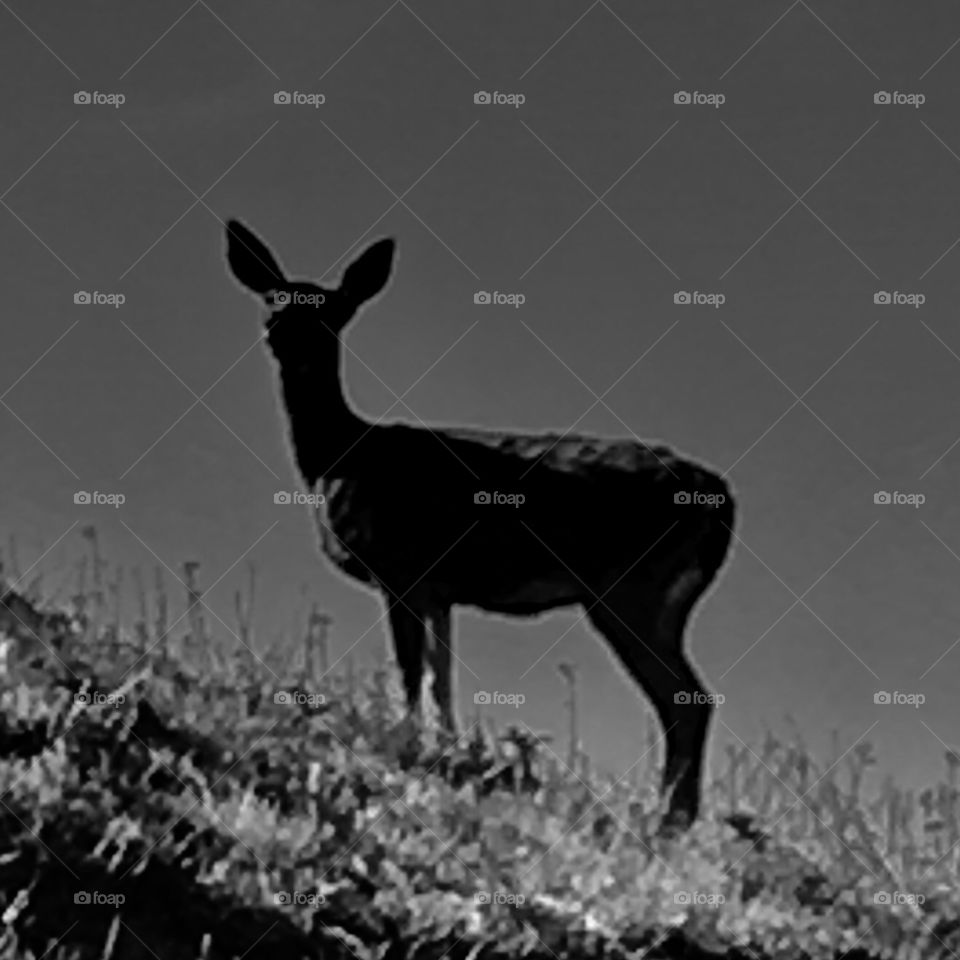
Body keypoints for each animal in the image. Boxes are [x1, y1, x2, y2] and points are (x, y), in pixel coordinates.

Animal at [225, 219, 735, 830]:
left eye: (332, 311)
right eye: (271, 297)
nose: (281, 329)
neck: (339, 456)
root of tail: (722, 496)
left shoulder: (400, 565)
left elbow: (410, 672)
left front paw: (407, 746)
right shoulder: (440, 589)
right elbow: (440, 677)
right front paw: (447, 753)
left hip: (632, 587)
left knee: (686, 700)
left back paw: (669, 820)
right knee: (689, 699)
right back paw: (675, 818)